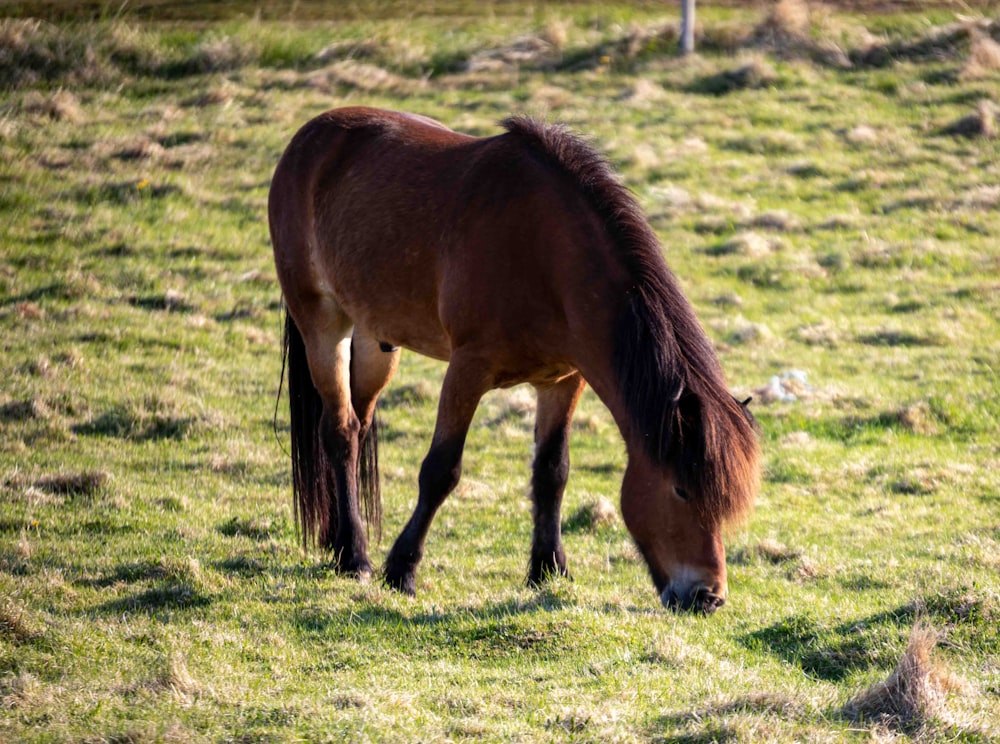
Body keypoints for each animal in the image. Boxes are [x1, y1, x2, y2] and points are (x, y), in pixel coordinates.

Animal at [266, 107, 756, 612]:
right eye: (681, 489)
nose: (708, 596)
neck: (545, 257)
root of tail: (312, 135)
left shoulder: (564, 380)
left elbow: (552, 472)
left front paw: (548, 569)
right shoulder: (467, 370)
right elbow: (441, 471)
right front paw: (401, 570)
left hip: (375, 340)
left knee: (358, 426)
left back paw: (338, 540)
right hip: (323, 322)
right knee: (341, 432)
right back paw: (354, 556)